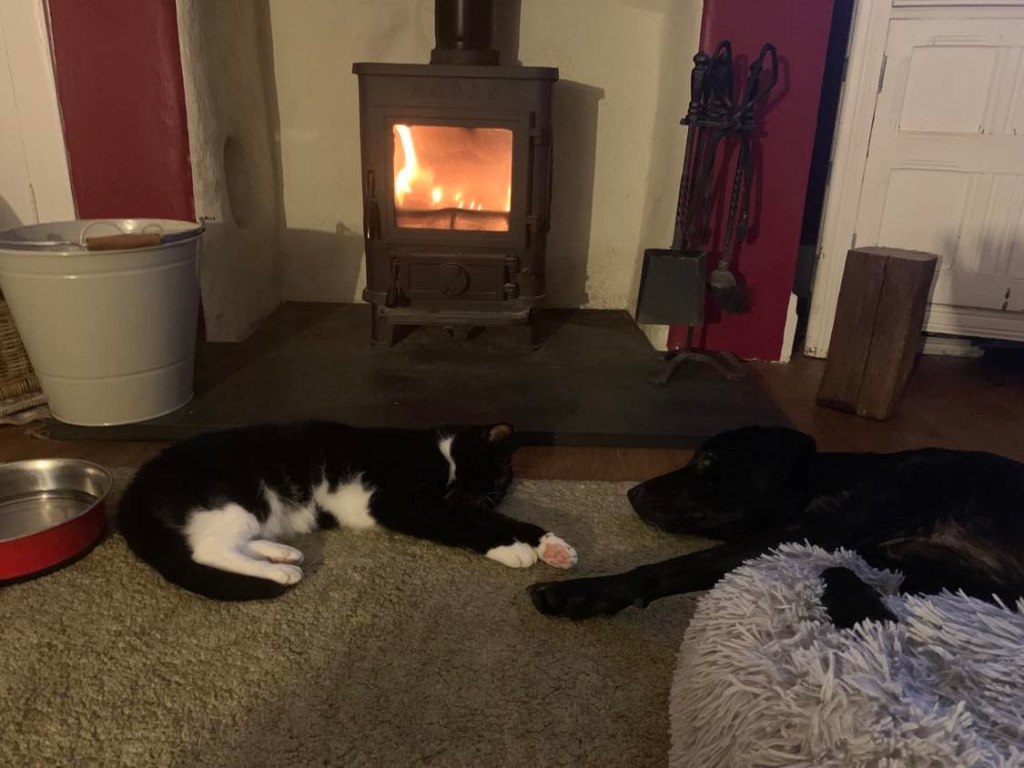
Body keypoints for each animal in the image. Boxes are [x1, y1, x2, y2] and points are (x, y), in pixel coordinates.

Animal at [117, 421, 577, 600]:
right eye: (497, 474)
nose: (497, 493)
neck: (442, 456)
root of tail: (136, 485)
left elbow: (501, 521)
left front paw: (551, 544)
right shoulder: (400, 503)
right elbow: (464, 526)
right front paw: (513, 549)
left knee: (228, 544)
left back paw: (282, 555)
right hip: (240, 497)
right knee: (207, 550)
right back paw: (279, 572)